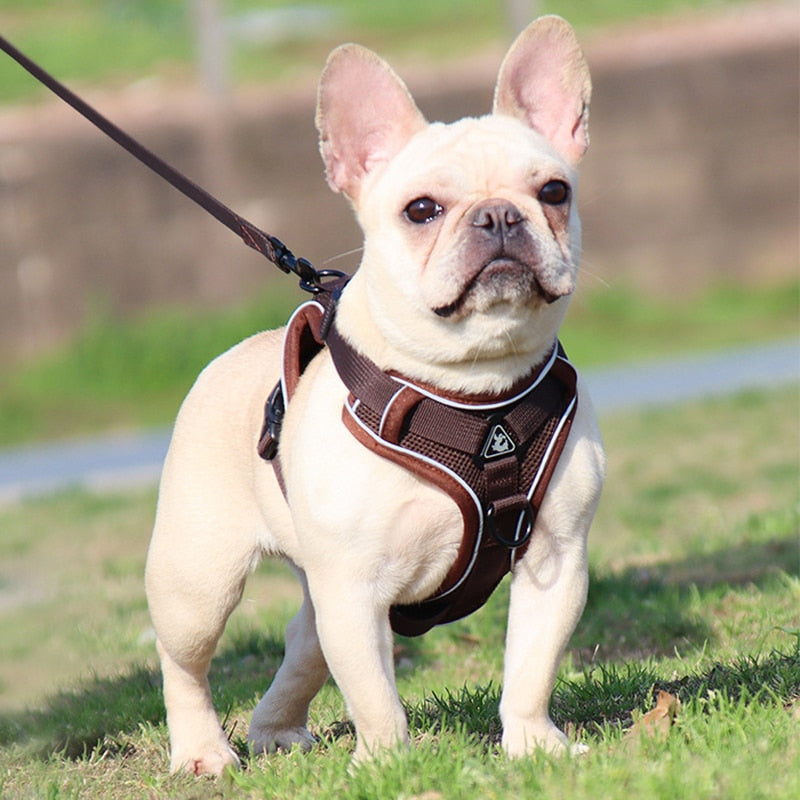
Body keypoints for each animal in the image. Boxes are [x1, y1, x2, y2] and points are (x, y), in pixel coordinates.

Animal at [145, 14, 608, 776]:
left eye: (553, 192)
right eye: (422, 210)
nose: (499, 217)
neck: (472, 388)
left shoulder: (555, 559)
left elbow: (531, 666)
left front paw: (533, 744)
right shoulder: (355, 586)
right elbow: (372, 692)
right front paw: (391, 763)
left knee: (303, 643)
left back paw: (276, 729)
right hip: (198, 582)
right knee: (185, 662)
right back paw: (202, 751)